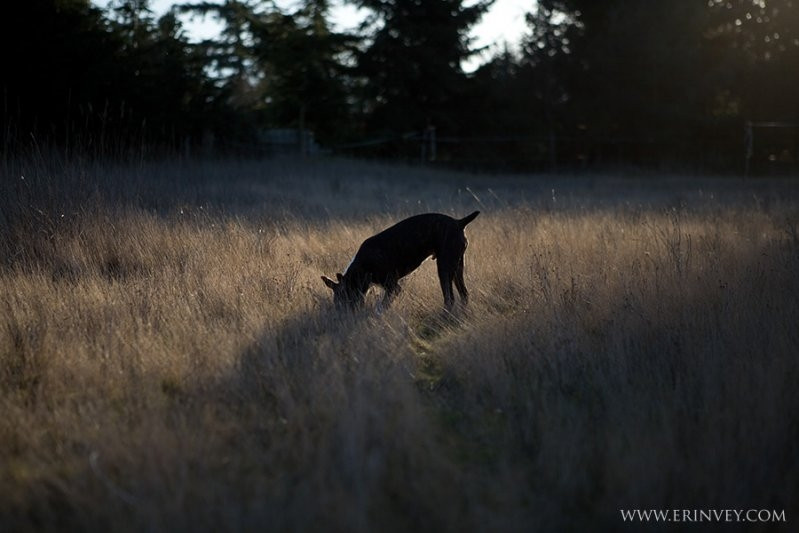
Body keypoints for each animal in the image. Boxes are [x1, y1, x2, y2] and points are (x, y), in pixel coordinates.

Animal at [320, 210, 482, 310]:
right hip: (457, 268)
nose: (340, 315)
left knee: (450, 298)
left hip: (444, 269)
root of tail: (459, 222)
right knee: (464, 294)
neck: (362, 268)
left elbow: (382, 306)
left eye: (344, 299)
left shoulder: (393, 287)